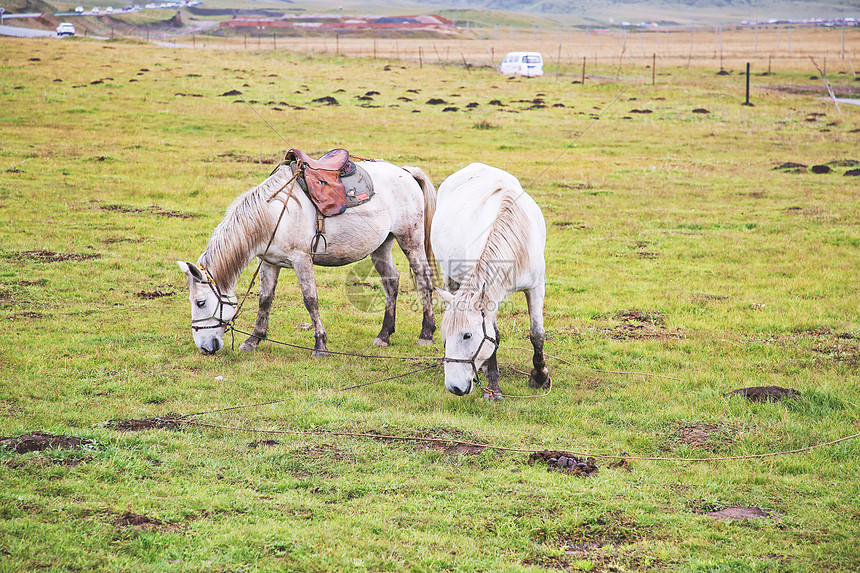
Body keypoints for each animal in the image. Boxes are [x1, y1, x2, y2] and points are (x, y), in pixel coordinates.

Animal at [430, 163, 552, 400]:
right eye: (444, 336)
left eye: (467, 335)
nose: (454, 387)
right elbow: (494, 337)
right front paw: (493, 388)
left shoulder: (535, 287)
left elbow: (537, 334)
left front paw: (540, 377)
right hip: (450, 277)